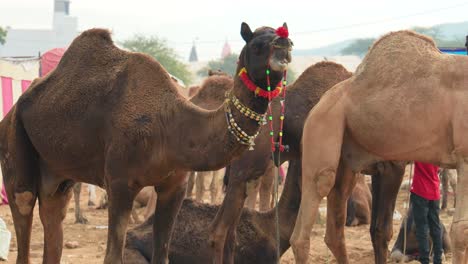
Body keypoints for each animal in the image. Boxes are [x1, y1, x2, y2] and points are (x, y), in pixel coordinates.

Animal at [0, 23, 292, 264]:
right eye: (256, 44)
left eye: (283, 36)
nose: (284, 46)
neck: (170, 123)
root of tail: (13, 110)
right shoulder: (119, 183)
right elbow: (112, 257)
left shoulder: (174, 187)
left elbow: (162, 255)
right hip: (14, 141)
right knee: (24, 202)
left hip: (57, 174)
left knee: (54, 211)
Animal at [290, 29, 468, 264]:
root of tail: (319, 104)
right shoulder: (464, 157)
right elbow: (461, 230)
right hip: (322, 127)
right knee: (309, 214)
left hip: (346, 161)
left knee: (335, 228)